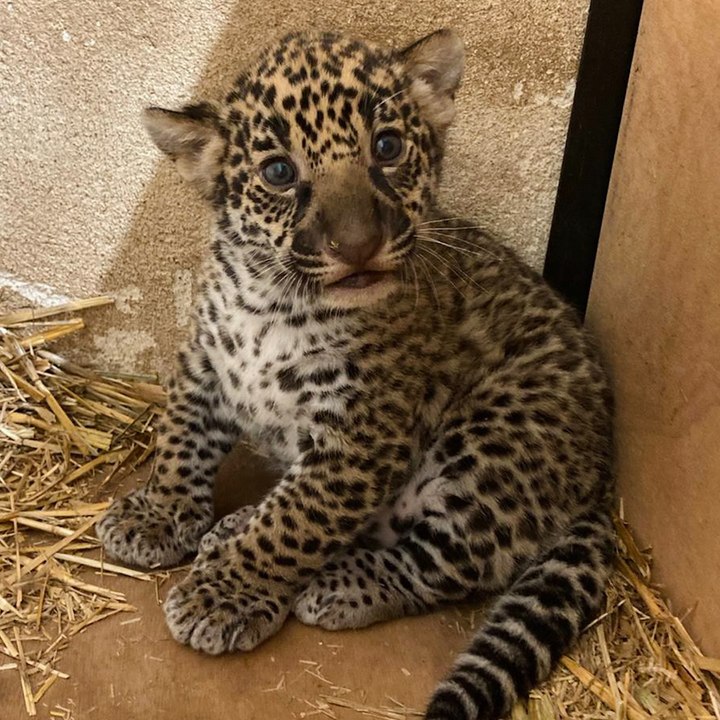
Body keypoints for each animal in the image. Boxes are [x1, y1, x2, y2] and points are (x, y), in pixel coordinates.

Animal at [97, 29, 615, 720]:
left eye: (388, 148)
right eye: (280, 173)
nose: (358, 245)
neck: (273, 303)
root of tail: (603, 482)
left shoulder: (360, 435)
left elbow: (296, 522)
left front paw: (223, 596)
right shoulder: (205, 359)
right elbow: (180, 441)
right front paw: (159, 515)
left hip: (495, 444)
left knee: (442, 561)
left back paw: (334, 582)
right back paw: (231, 528)